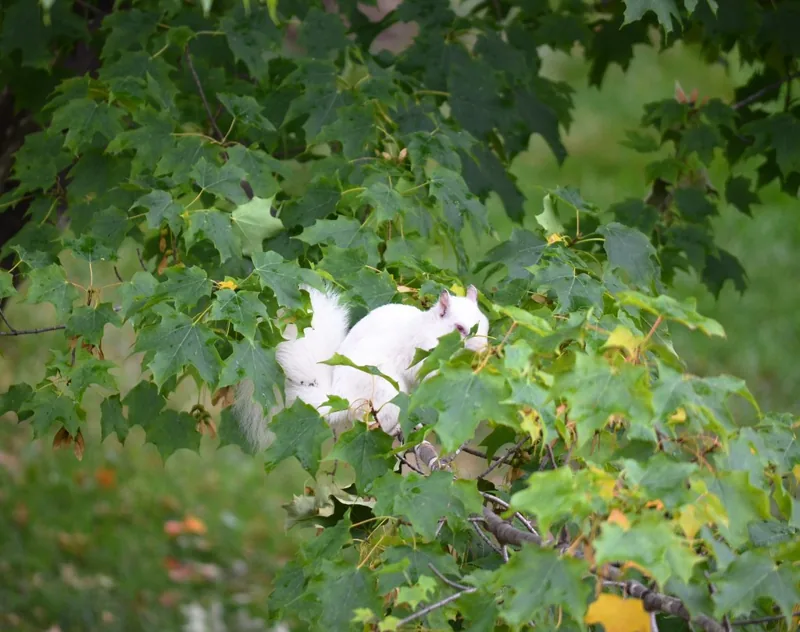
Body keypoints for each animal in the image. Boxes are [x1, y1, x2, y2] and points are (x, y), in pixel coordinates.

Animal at [233, 284, 490, 450]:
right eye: (459, 328)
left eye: (485, 324)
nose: (483, 349)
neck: (431, 330)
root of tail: (340, 396)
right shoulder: (420, 352)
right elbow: (424, 372)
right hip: (384, 389)